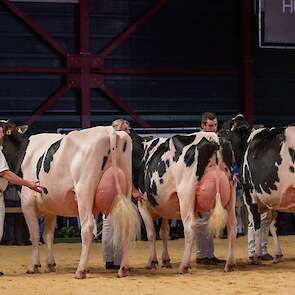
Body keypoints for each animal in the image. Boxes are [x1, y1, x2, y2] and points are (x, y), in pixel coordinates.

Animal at [131, 131, 237, 274]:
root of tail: (212, 137)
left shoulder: (143, 202)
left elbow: (151, 233)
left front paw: (152, 262)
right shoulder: (167, 205)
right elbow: (164, 233)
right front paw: (165, 260)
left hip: (186, 194)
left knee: (190, 228)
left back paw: (184, 266)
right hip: (231, 191)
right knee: (232, 226)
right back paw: (230, 264)